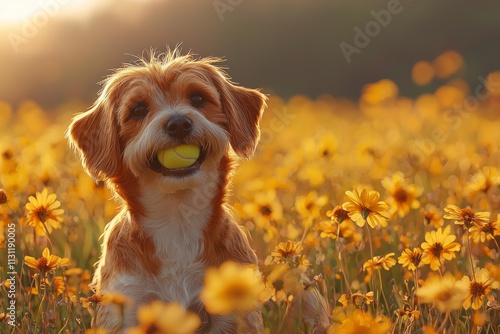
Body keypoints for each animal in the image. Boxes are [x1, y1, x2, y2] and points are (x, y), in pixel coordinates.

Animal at [69, 51, 270, 332]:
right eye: (138, 110)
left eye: (197, 98)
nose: (178, 123)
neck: (177, 222)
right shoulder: (126, 304)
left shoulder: (232, 313)